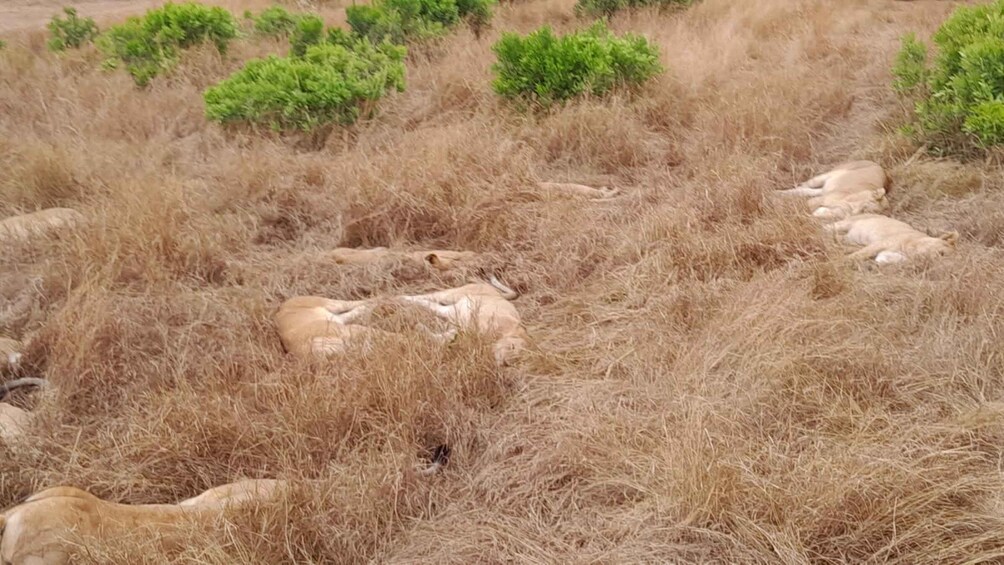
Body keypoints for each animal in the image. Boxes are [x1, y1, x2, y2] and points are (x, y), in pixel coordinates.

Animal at [395, 274, 530, 367]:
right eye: (512, 347)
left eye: (517, 360)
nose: (505, 363)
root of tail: (496, 293)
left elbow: (445, 337)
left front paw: (421, 330)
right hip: (453, 295)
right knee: (429, 297)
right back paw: (399, 298)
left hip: (453, 304)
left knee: (432, 304)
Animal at [827, 213, 959, 264]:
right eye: (942, 253)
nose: (933, 260)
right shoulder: (881, 243)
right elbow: (858, 255)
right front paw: (837, 262)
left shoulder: (887, 255)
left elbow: (879, 259)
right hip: (845, 224)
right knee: (827, 227)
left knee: (840, 239)